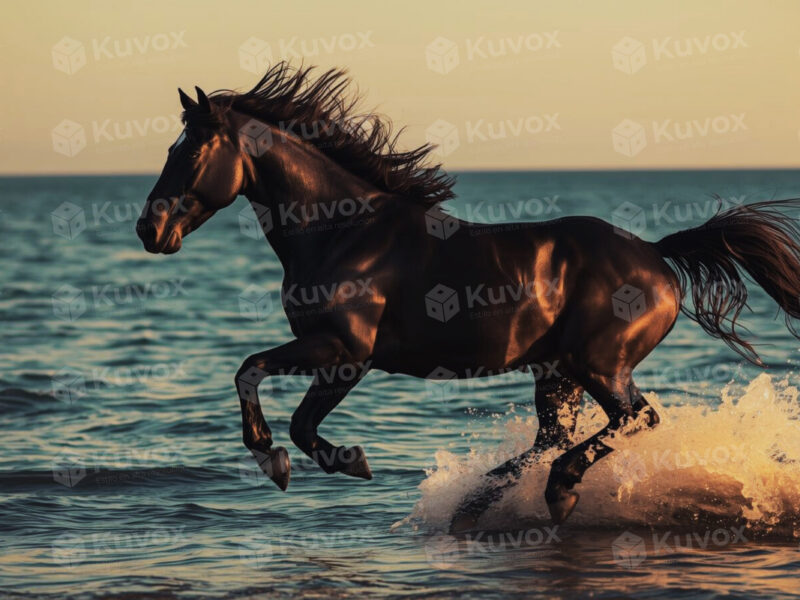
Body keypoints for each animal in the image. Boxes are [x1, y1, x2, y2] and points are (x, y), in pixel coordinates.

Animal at [135, 62, 800, 530]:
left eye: (189, 151)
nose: (148, 230)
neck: (343, 232)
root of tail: (657, 255)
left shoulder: (345, 353)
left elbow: (279, 403)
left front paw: (318, 460)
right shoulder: (331, 352)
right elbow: (263, 385)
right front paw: (292, 459)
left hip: (598, 363)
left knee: (634, 419)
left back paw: (555, 492)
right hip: (556, 370)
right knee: (554, 437)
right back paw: (481, 504)